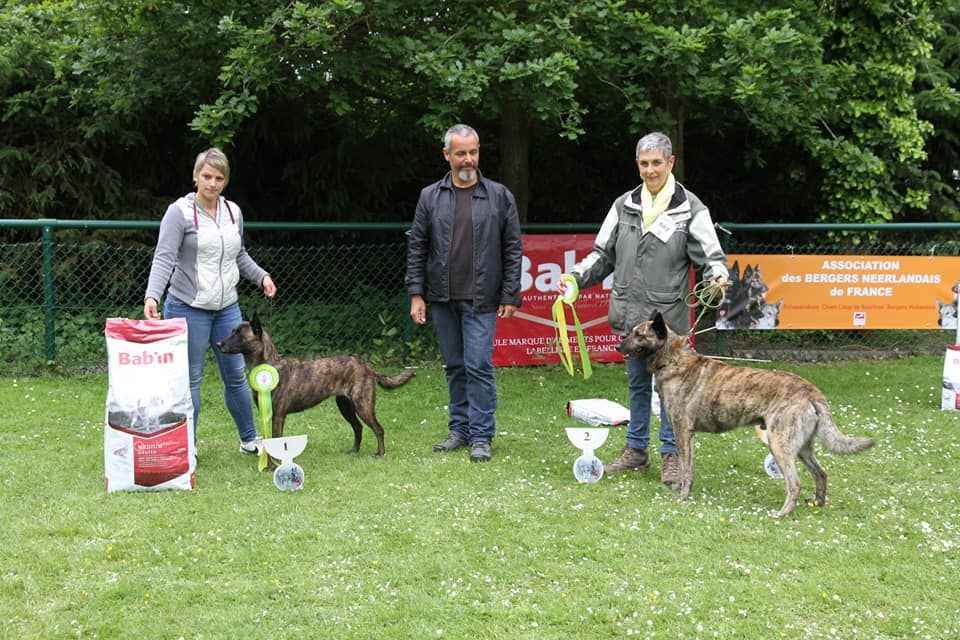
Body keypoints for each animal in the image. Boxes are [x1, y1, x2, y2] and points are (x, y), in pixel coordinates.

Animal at [217, 316, 414, 458]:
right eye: (232, 331)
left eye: (239, 335)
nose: (218, 344)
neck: (270, 365)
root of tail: (365, 365)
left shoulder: (278, 416)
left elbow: (276, 438)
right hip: (345, 406)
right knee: (358, 427)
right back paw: (354, 451)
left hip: (362, 406)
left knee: (378, 429)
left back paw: (380, 453)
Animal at [616, 311, 874, 517]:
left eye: (638, 335)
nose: (618, 347)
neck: (673, 358)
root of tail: (811, 391)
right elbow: (686, 468)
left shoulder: (682, 432)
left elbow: (686, 470)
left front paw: (682, 496)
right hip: (801, 447)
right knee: (821, 473)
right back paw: (818, 503)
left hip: (779, 445)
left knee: (795, 483)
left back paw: (782, 513)